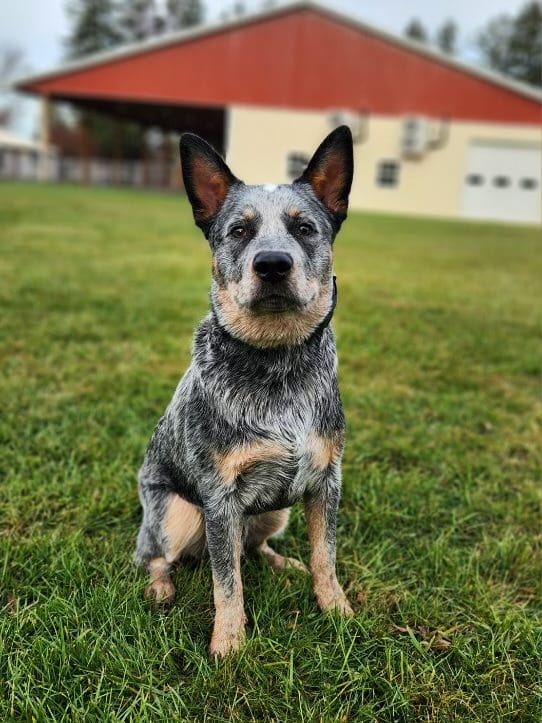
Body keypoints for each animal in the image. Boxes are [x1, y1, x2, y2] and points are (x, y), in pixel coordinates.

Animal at [135, 125, 354, 658]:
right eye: (238, 231)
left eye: (304, 228)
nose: (272, 264)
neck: (278, 366)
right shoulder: (219, 497)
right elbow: (226, 581)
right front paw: (229, 645)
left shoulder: (327, 479)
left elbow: (325, 555)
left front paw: (336, 610)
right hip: (177, 514)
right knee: (157, 555)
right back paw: (160, 587)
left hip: (277, 514)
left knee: (253, 545)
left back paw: (282, 563)